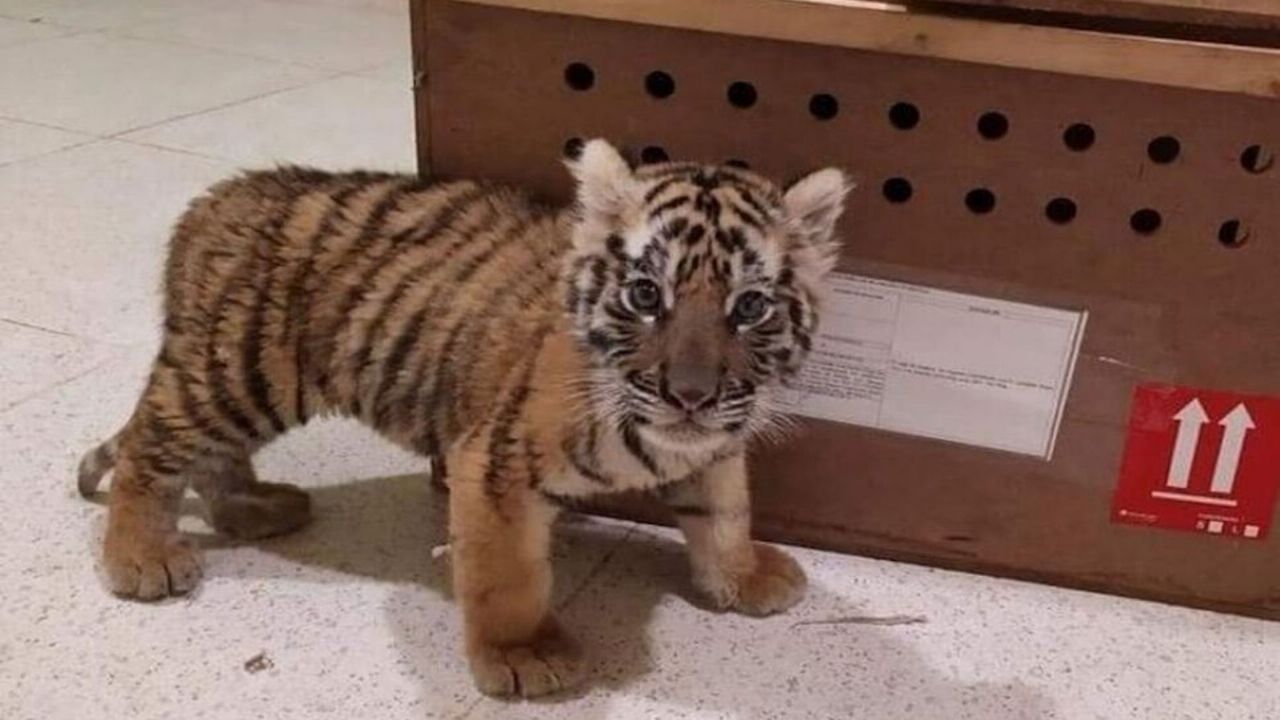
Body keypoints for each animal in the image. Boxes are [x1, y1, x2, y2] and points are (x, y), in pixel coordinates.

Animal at [76, 139, 850, 697]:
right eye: (644, 294)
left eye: (750, 306)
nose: (690, 395)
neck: (660, 437)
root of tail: (212, 200)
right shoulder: (494, 461)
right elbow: (506, 573)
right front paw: (522, 655)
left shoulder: (715, 449)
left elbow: (725, 516)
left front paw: (744, 578)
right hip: (239, 374)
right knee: (151, 446)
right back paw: (142, 559)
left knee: (205, 454)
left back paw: (253, 511)